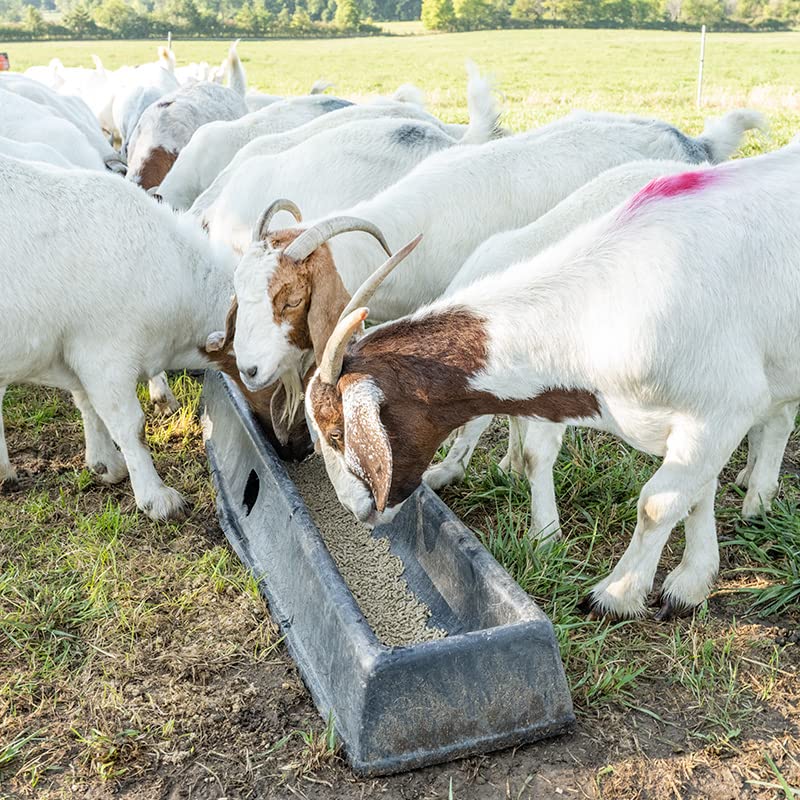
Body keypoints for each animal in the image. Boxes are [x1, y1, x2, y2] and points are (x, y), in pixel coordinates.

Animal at [298, 140, 800, 622]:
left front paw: (617, 596)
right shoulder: (699, 428)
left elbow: (657, 504)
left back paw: (757, 499)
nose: (355, 510)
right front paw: (693, 582)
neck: (602, 305)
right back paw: (755, 488)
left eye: (338, 432)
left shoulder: (720, 409)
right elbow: (698, 493)